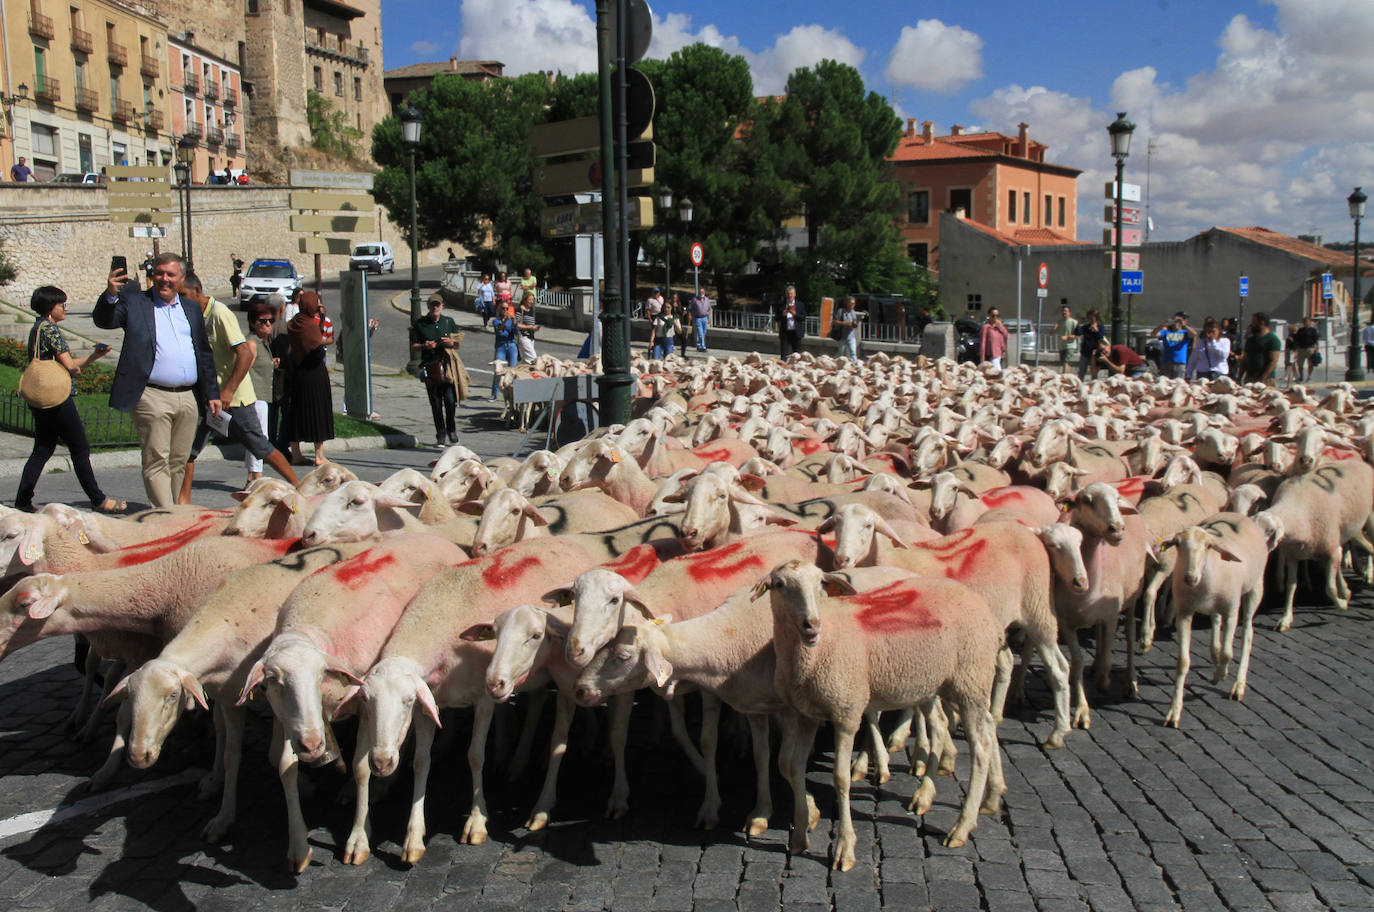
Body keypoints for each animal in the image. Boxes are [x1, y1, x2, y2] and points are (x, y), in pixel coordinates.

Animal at [759, 560, 1004, 868]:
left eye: (821, 583)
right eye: (779, 584)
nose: (811, 623)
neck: (813, 652)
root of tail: (978, 602)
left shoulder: (846, 712)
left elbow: (840, 778)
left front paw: (844, 849)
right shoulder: (804, 715)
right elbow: (790, 767)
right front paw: (800, 835)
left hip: (970, 679)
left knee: (980, 746)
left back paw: (961, 826)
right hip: (937, 682)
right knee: (961, 725)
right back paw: (963, 797)